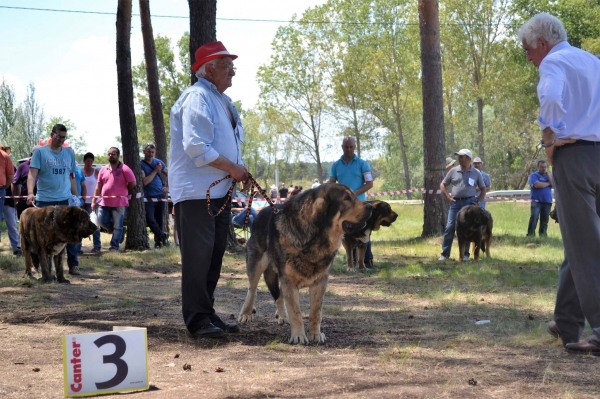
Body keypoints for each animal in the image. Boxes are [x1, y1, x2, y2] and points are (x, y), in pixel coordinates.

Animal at [238, 184, 370, 344]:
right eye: (346, 199)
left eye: (354, 196)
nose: (370, 206)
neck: (315, 238)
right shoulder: (289, 281)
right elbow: (296, 312)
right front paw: (299, 336)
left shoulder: (320, 282)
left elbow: (316, 312)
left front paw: (315, 334)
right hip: (256, 265)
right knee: (252, 290)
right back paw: (246, 314)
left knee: (279, 295)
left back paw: (282, 316)